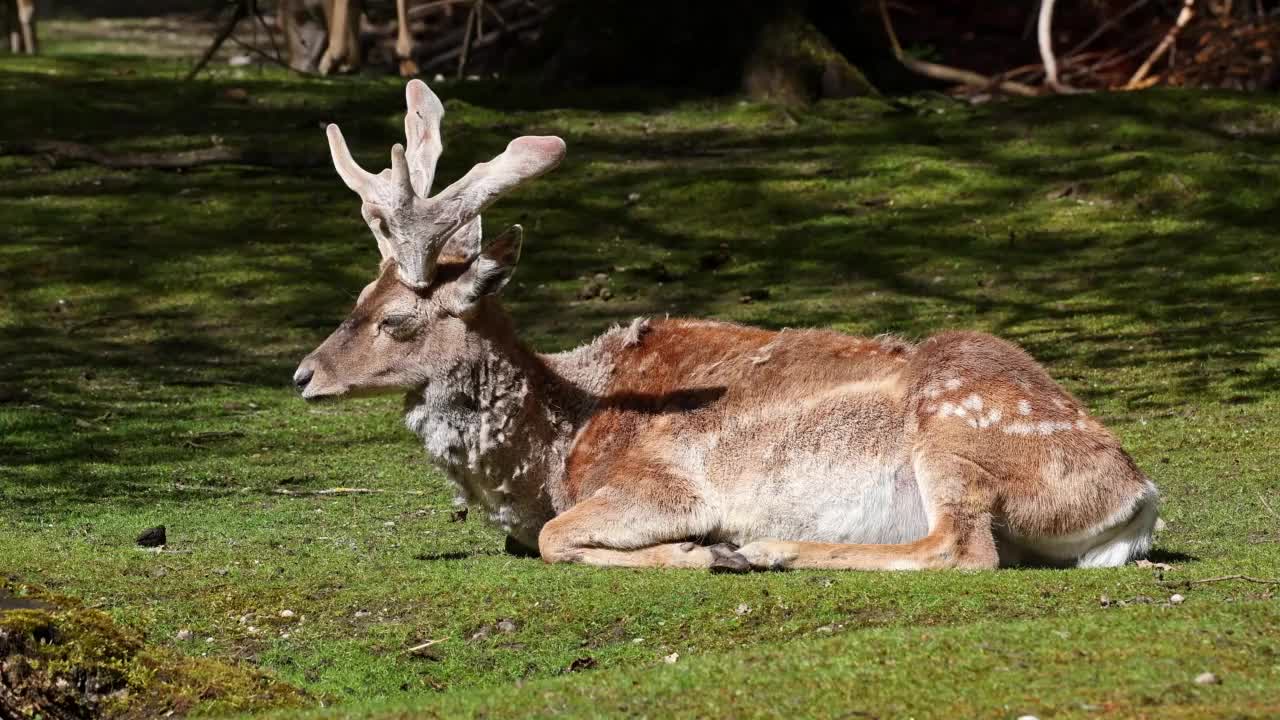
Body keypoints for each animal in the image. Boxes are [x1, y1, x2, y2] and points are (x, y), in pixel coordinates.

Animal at [296, 78, 1162, 568]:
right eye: (357, 296)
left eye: (397, 319)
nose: (303, 374)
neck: (554, 454)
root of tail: (1137, 496)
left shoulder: (660, 485)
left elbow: (552, 540)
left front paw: (698, 552)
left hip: (956, 431)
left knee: (966, 549)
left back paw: (761, 549)